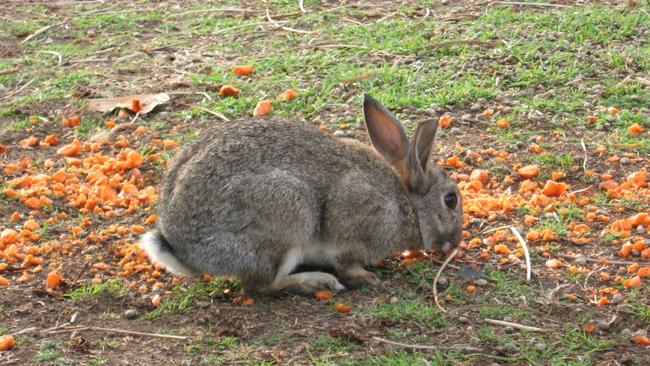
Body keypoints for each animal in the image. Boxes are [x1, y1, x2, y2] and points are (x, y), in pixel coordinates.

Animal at [142, 95, 464, 294]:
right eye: (450, 200)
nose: (457, 241)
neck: (406, 203)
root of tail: (185, 253)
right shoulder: (353, 223)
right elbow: (347, 261)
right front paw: (366, 277)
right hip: (290, 214)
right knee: (262, 285)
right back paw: (315, 282)